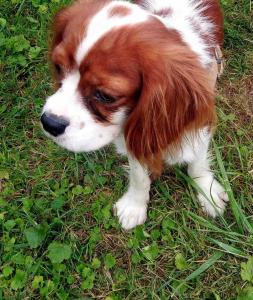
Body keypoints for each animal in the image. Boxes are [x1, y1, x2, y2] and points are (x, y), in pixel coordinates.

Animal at [41, 0, 227, 230]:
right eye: (58, 67)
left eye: (105, 96)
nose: (49, 123)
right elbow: (139, 175)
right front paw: (135, 205)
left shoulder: (198, 121)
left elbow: (198, 162)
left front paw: (207, 192)